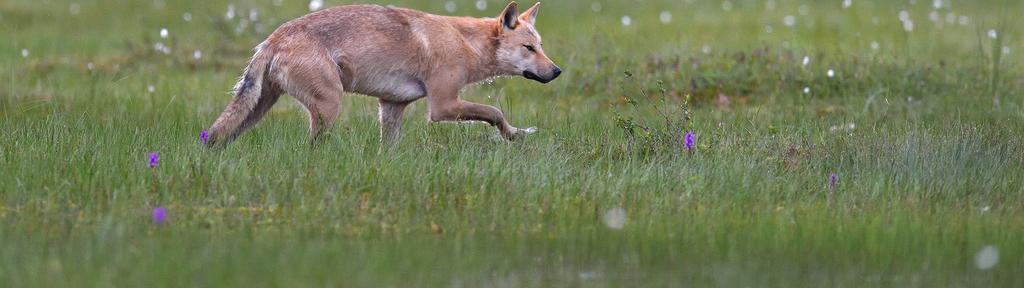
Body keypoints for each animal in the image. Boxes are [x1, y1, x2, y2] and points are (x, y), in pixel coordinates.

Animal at [206, 1, 561, 145]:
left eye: (541, 46)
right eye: (529, 48)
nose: (557, 71)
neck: (466, 43)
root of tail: (273, 38)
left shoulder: (391, 108)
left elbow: (388, 151)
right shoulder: (443, 106)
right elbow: (495, 113)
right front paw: (516, 135)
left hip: (256, 111)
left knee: (218, 137)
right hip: (328, 107)